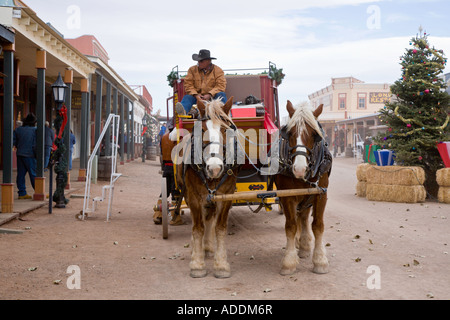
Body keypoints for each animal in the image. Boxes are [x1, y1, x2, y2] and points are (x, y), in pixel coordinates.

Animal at [175, 97, 241, 278]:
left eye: (225, 130)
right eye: (202, 129)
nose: (215, 168)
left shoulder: (226, 196)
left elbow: (220, 227)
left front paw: (221, 264)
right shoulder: (193, 196)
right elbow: (198, 227)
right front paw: (197, 264)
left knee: (210, 218)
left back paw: (208, 247)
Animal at [272, 102, 332, 276]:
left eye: (314, 134)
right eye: (290, 133)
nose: (299, 169)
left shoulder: (320, 193)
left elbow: (317, 226)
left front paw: (320, 261)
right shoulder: (287, 196)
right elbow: (291, 226)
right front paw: (289, 262)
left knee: (304, 217)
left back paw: (304, 245)